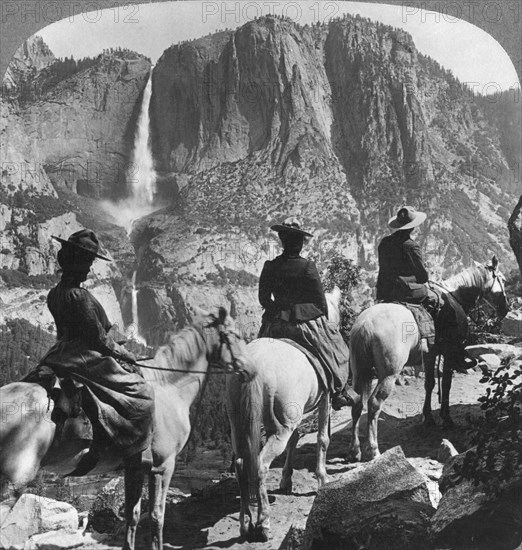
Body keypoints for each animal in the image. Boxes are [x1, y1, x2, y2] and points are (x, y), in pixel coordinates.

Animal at [225, 288, 344, 544]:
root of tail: (254, 362)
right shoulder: (325, 400)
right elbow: (322, 439)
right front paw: (322, 480)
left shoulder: (293, 417)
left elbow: (295, 440)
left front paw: (286, 481)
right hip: (278, 430)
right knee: (260, 465)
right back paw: (263, 524)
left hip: (238, 426)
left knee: (241, 465)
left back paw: (245, 524)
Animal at [348, 256, 506, 464]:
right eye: (502, 280)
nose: (506, 309)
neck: (454, 298)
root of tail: (365, 325)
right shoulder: (447, 353)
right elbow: (445, 384)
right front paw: (446, 418)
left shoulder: (430, 354)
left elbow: (429, 384)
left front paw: (428, 418)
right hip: (389, 374)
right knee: (374, 404)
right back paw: (374, 450)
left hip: (359, 371)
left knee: (357, 403)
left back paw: (355, 450)